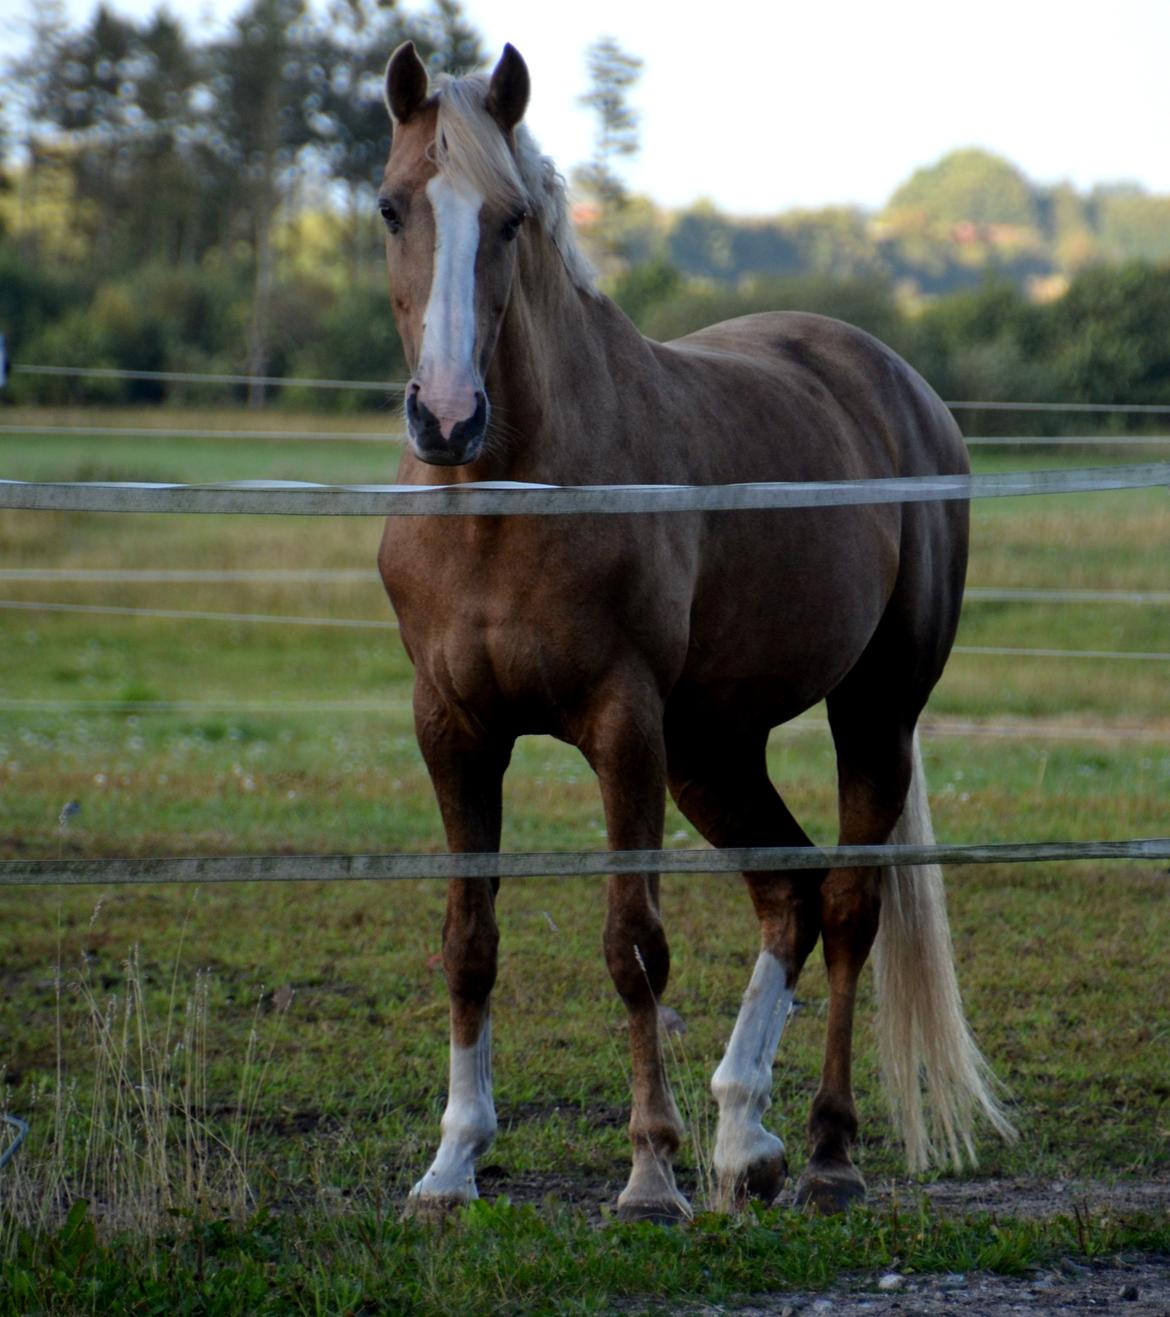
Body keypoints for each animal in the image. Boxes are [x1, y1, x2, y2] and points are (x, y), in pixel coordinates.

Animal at [376, 41, 1017, 1222]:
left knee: (848, 903)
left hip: (870, 711)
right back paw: (743, 1136)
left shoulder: (622, 727)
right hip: (715, 746)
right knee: (790, 891)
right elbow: (468, 942)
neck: (502, 502)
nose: (446, 416)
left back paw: (824, 1151)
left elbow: (633, 944)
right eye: (394, 207)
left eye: (512, 219)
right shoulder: (452, 729)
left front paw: (649, 1173)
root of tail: (898, 385)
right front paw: (450, 1165)